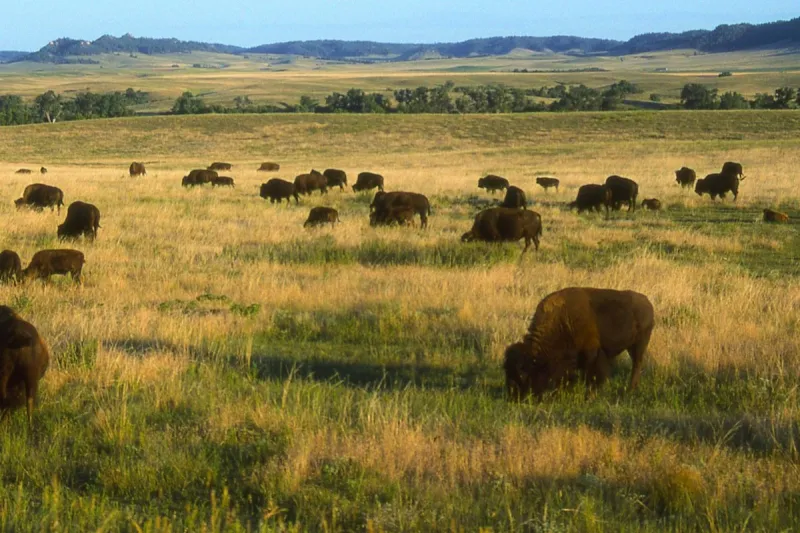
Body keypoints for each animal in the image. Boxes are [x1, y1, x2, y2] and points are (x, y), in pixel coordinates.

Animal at [504, 287, 654, 400]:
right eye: (506, 371)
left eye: (523, 373)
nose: (514, 397)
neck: (562, 321)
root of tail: (648, 303)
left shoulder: (592, 354)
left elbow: (592, 375)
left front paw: (589, 396)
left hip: (640, 344)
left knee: (636, 364)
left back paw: (630, 389)